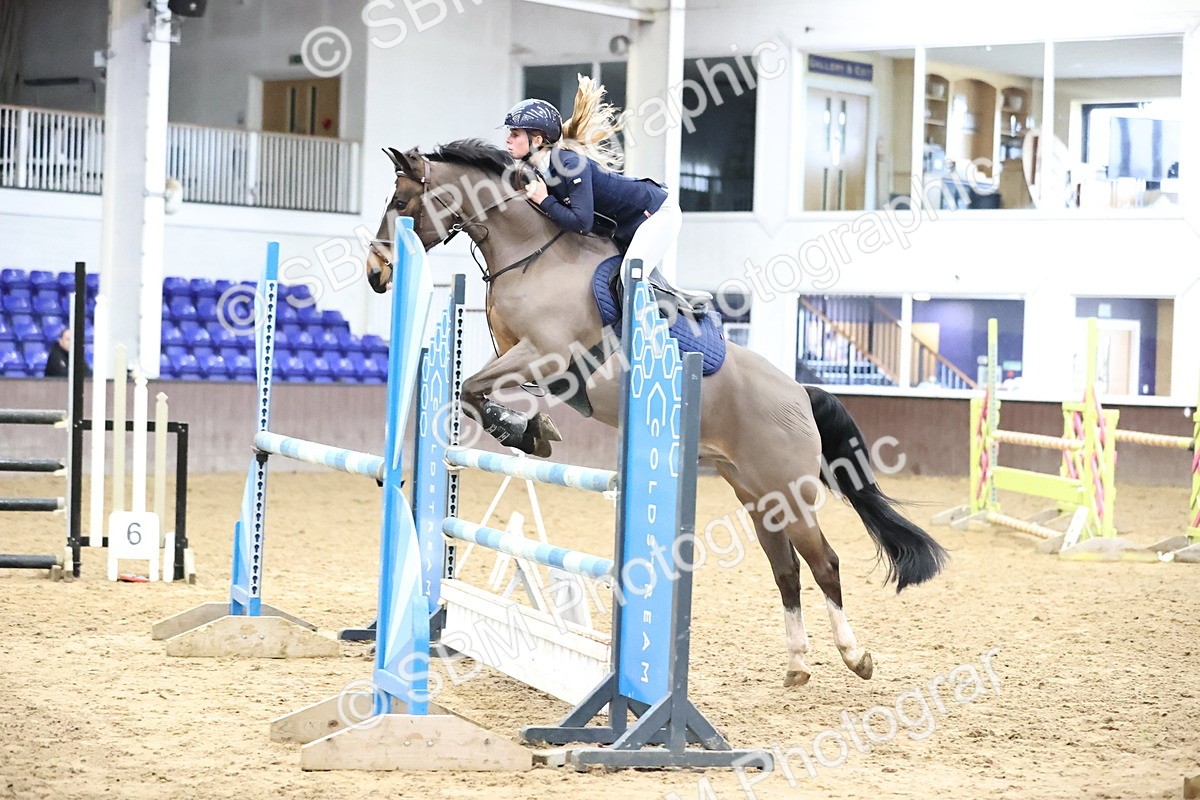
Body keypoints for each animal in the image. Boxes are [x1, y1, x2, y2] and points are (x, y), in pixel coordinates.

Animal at [364, 138, 947, 688]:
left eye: (401, 202)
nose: (375, 273)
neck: (531, 254)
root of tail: (801, 394)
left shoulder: (545, 354)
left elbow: (474, 390)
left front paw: (526, 432)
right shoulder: (514, 354)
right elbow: (471, 392)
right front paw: (531, 431)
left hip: (790, 492)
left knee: (824, 562)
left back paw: (855, 657)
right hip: (757, 494)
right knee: (784, 568)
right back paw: (798, 664)